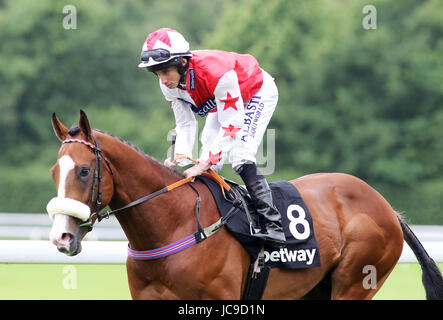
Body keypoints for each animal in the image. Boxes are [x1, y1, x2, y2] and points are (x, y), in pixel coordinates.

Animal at [47, 110, 443, 300]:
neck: (173, 224)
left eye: (84, 170)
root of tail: (387, 208)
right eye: (54, 171)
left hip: (356, 282)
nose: (61, 237)